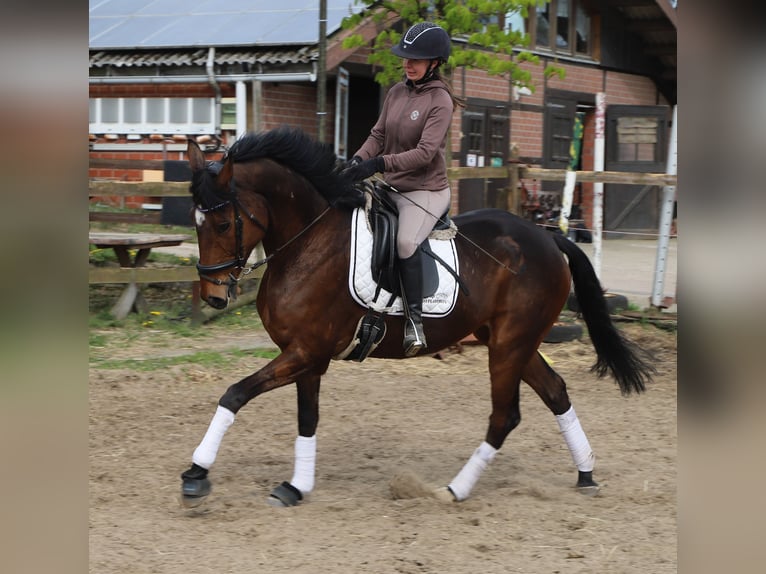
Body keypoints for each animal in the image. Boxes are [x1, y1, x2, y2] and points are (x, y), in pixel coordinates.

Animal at [180, 126, 654, 508]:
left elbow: (234, 394)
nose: (214, 296)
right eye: (196, 222)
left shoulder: (305, 352)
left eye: (223, 224)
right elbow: (306, 419)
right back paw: (586, 473)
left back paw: (455, 490)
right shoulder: (306, 357)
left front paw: (197, 474)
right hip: (512, 342)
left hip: (509, 345)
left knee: (505, 416)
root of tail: (548, 239)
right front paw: (297, 486)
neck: (309, 242)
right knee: (555, 391)